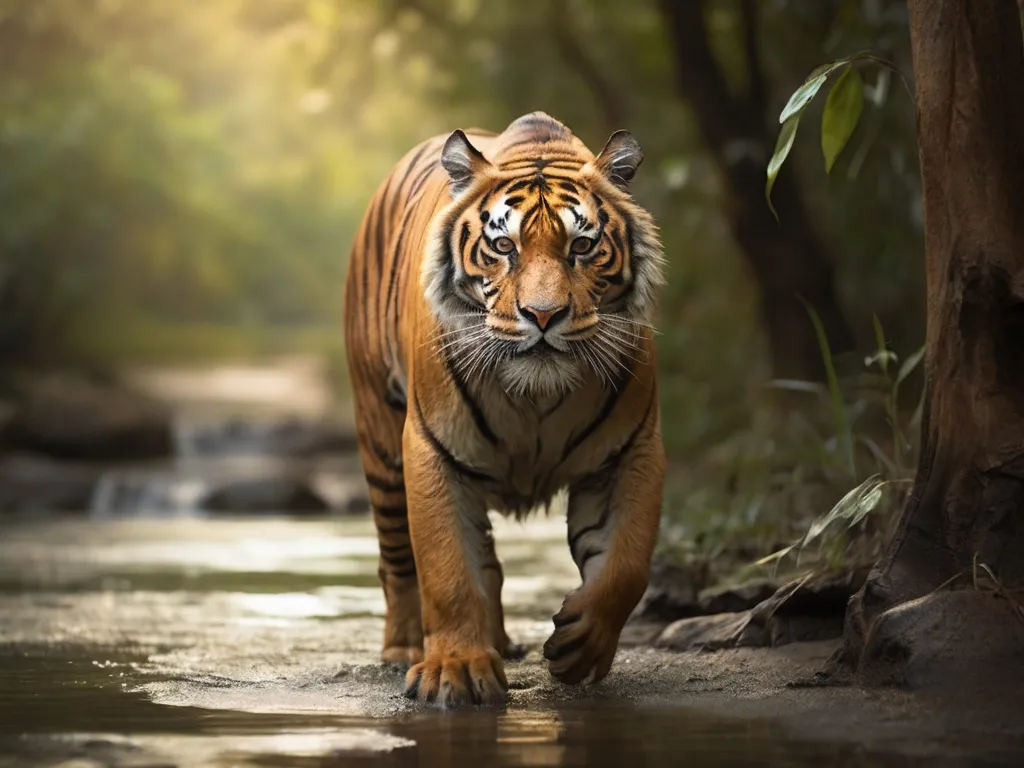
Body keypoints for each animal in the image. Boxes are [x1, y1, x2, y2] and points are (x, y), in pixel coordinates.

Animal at [342, 112, 663, 708]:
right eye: (503, 246)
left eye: (582, 245)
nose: (544, 314)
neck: (536, 395)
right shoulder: (432, 448)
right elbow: (446, 569)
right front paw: (456, 670)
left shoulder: (632, 449)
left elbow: (626, 563)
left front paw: (581, 644)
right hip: (380, 442)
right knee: (397, 560)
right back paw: (403, 648)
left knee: (488, 564)